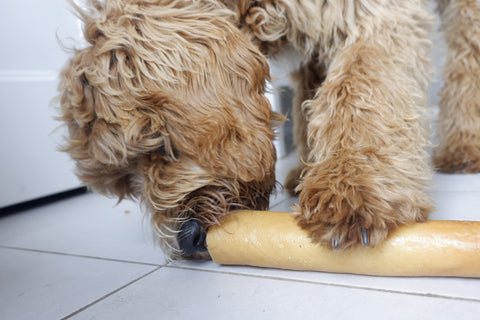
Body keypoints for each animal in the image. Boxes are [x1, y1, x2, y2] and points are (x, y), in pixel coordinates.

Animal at [58, 0, 480, 258]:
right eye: (127, 183)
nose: (187, 240)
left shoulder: (374, 16)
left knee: (467, 55)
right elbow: (311, 98)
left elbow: (358, 90)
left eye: (157, 146)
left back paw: (463, 147)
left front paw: (351, 189)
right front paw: (307, 170)